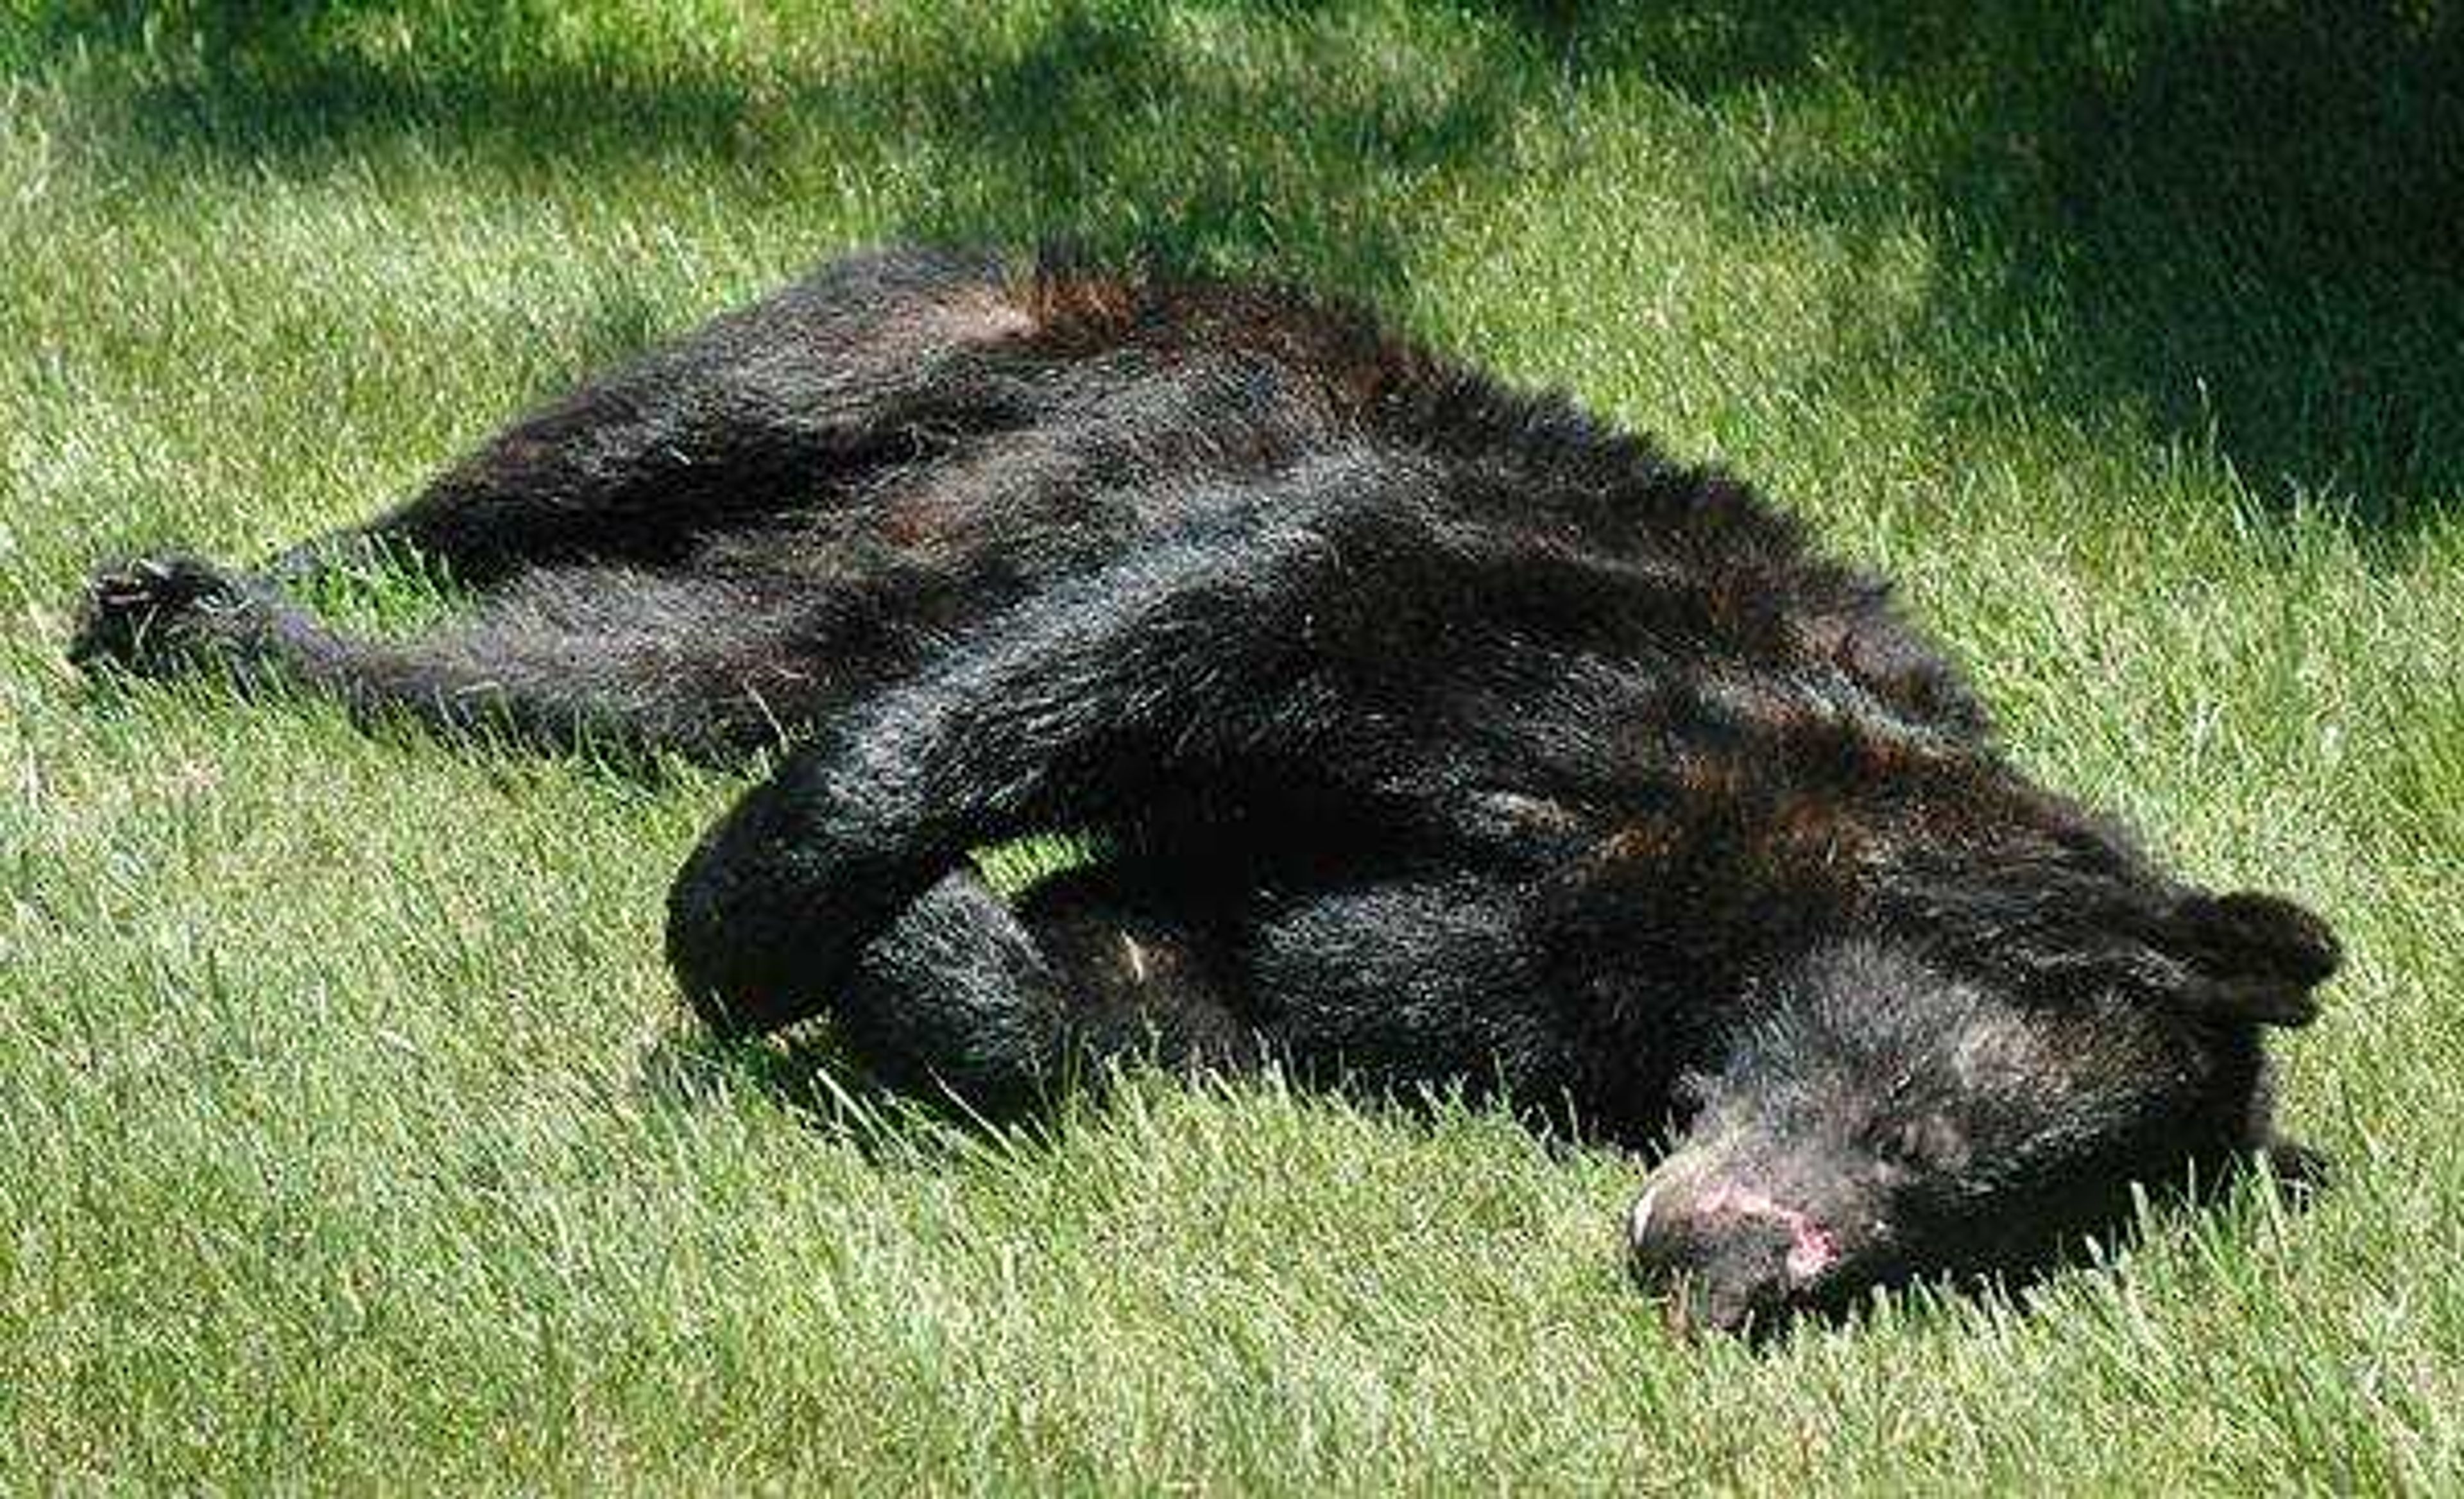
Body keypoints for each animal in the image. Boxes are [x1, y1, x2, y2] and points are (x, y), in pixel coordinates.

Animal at [67, 246, 2336, 1331]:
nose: (1735, 1275)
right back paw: (200, 588)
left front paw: (941, 950)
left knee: (611, 658)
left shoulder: (1465, 991)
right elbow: (1249, 605)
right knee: (572, 463)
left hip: (757, 613)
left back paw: (251, 641)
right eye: (1943, 1144)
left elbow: (1175, 972)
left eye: (1973, 1250)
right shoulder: (1562, 648)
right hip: (938, 339)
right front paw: (754, 924)